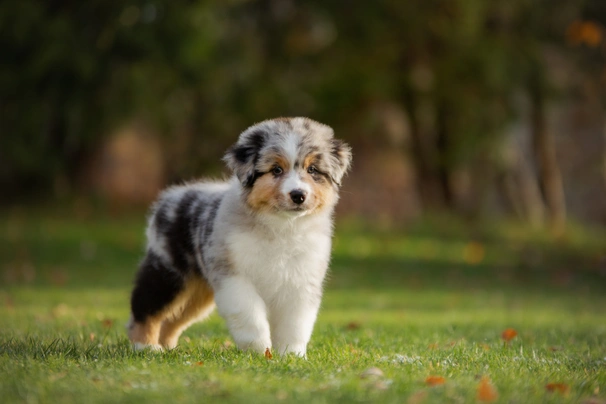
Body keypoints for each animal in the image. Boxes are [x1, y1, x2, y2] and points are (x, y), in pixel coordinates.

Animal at [131, 117, 354, 356]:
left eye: (312, 170)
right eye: (276, 169)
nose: (298, 195)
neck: (282, 226)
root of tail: (170, 196)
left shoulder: (301, 281)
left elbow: (295, 324)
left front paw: (291, 355)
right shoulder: (234, 276)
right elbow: (250, 315)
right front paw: (260, 351)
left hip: (199, 291)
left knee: (174, 319)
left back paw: (169, 348)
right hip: (169, 272)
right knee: (146, 307)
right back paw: (145, 346)